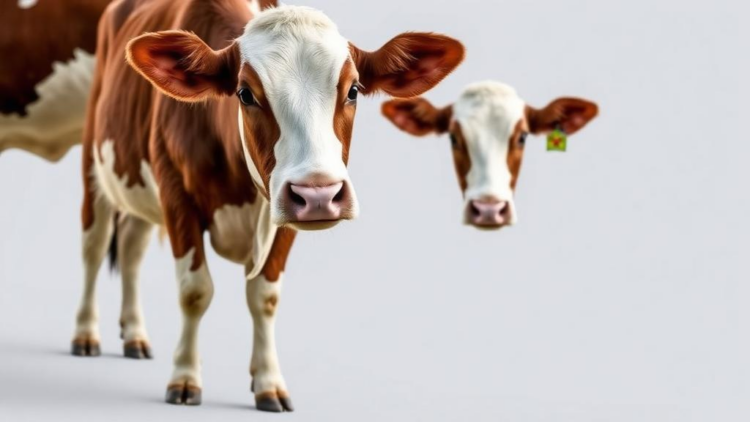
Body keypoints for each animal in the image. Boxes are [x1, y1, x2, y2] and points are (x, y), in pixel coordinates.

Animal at [74, 0, 465, 412]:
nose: (319, 194)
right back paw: (86, 335)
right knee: (94, 246)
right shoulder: (176, 193)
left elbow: (264, 297)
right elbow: (194, 291)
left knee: (131, 249)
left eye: (354, 90)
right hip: (94, 166)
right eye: (245, 93)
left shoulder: (283, 220)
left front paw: (268, 383)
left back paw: (135, 335)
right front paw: (184, 378)